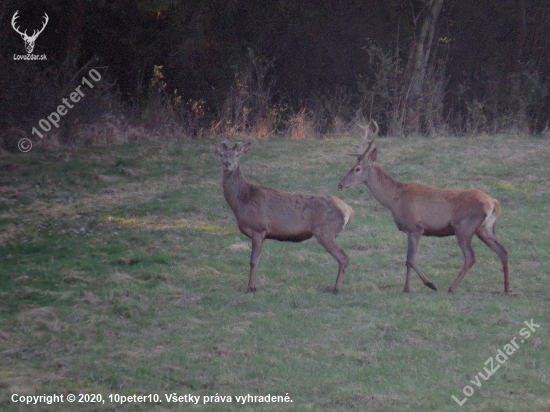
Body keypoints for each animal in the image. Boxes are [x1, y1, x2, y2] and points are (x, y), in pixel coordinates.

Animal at [213, 142, 356, 292]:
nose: (227, 163)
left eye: (237, 155)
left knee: (344, 258)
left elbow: (253, 261)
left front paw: (251, 287)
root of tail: (349, 210)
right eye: (222, 154)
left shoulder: (258, 228)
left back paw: (336, 289)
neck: (242, 201)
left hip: (326, 231)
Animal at [338, 121, 512, 292]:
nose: (340, 184)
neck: (394, 200)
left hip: (464, 227)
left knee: (471, 257)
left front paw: (429, 284)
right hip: (485, 228)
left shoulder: (415, 227)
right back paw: (506, 288)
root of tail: (494, 202)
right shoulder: (410, 230)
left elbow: (410, 259)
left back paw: (452, 287)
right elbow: (408, 260)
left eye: (357, 169)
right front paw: (407, 288)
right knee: (503, 251)